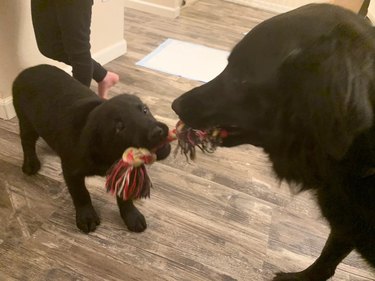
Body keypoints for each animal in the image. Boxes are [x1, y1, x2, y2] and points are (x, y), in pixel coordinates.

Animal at [12, 64, 172, 233]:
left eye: (145, 110)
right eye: (119, 127)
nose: (158, 132)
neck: (108, 152)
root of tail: (29, 69)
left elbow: (124, 197)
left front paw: (132, 215)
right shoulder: (72, 172)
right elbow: (81, 194)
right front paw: (86, 217)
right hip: (26, 121)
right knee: (27, 142)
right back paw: (30, 164)